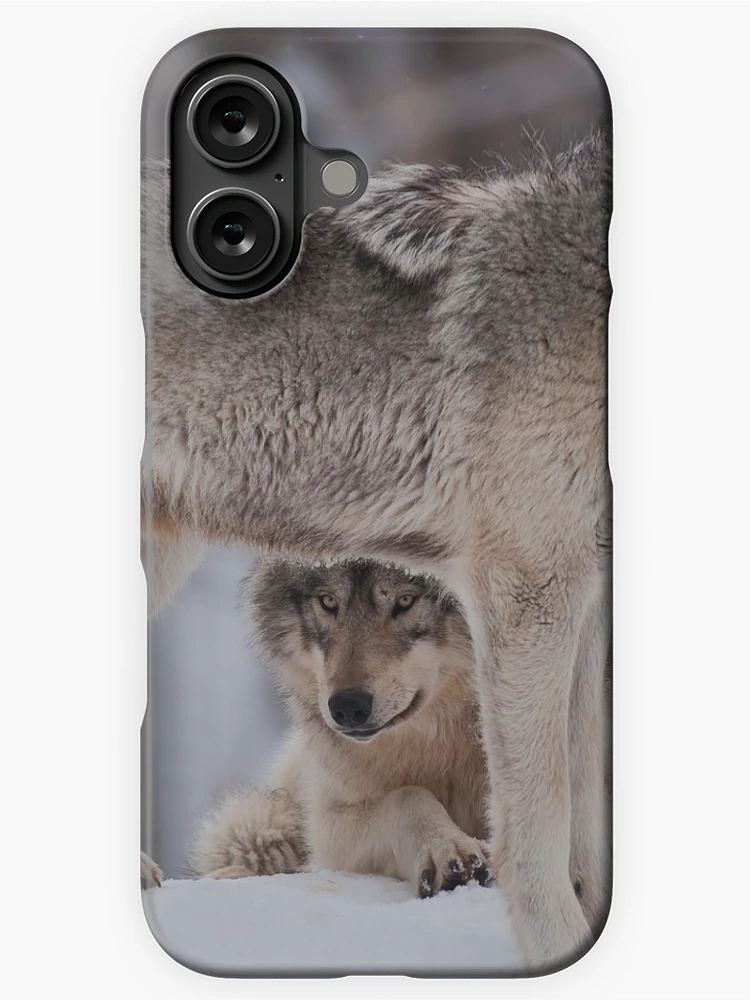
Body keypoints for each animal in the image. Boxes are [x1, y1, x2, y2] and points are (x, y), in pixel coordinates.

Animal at [190, 558, 492, 896]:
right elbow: (406, 796)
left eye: (405, 600)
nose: (347, 706)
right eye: (328, 601)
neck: (440, 746)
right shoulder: (327, 827)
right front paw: (446, 847)